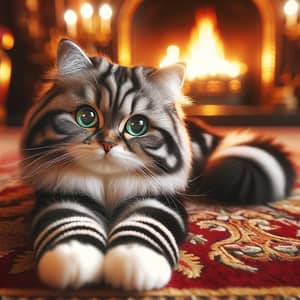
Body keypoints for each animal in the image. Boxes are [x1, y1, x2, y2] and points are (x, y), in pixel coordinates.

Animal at [20, 39, 296, 290]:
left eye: (137, 126)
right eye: (86, 117)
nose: (107, 145)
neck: (108, 185)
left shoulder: (160, 200)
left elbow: (146, 228)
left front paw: (134, 265)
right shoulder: (62, 196)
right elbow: (69, 225)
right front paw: (72, 261)